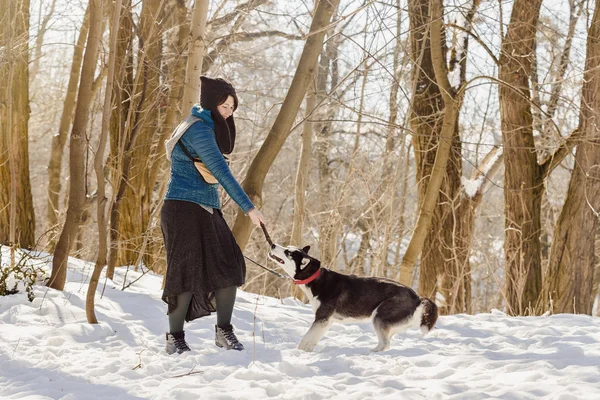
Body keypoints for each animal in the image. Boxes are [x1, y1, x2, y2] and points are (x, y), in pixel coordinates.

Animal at [270, 244, 438, 354]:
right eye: (287, 247)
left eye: (288, 253)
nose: (272, 244)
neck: (315, 277)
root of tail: (417, 297)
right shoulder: (326, 322)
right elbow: (312, 339)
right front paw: (307, 351)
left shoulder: (322, 319)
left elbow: (305, 338)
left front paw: (298, 352)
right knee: (387, 341)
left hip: (379, 317)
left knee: (385, 344)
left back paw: (371, 352)